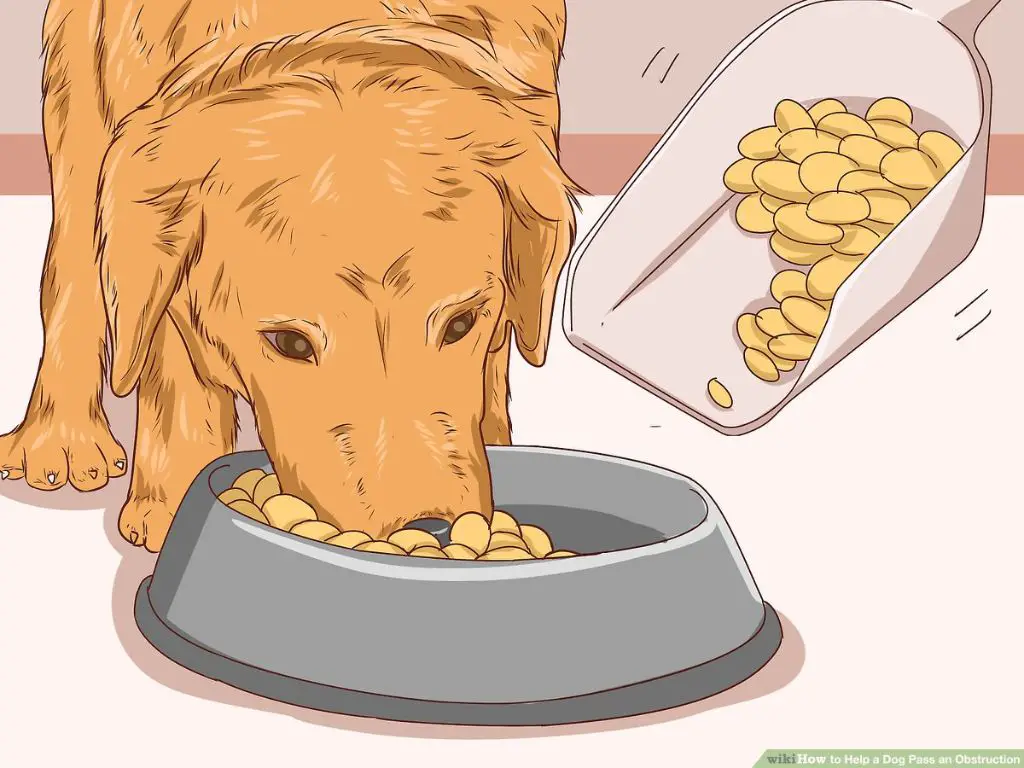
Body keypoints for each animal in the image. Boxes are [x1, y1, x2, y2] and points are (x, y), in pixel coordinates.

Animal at [0, 0, 577, 552]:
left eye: (461, 324)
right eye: (289, 343)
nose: (429, 527)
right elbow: (172, 357)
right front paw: (172, 507)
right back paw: (61, 443)